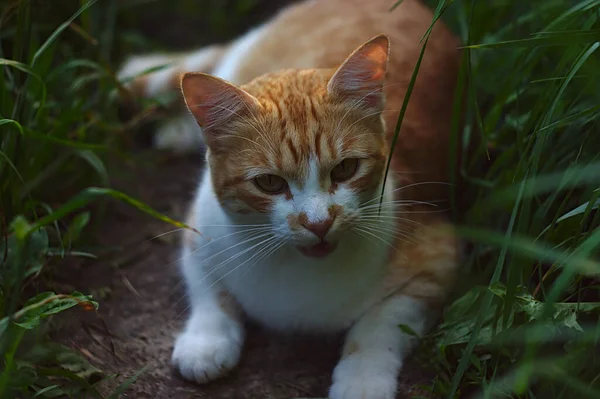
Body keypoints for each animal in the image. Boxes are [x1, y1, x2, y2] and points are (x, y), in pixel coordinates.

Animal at [119, 0, 462, 399]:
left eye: (346, 169)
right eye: (269, 182)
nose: (319, 222)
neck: (292, 266)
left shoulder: (435, 256)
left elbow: (379, 325)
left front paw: (362, 380)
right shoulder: (198, 233)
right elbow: (208, 291)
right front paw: (206, 342)